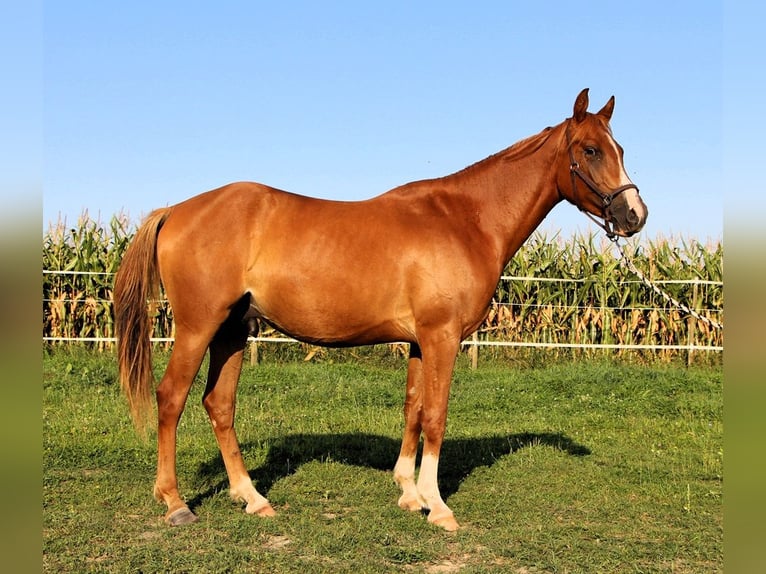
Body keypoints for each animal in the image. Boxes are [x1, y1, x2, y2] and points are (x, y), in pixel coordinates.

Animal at [112, 88, 648, 532]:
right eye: (591, 150)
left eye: (620, 150)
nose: (635, 216)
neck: (465, 220)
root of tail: (175, 210)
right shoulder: (441, 337)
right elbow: (436, 415)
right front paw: (439, 507)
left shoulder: (418, 341)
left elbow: (412, 410)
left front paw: (410, 494)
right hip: (198, 327)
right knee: (171, 399)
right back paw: (175, 503)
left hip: (232, 331)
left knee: (219, 405)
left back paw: (253, 497)